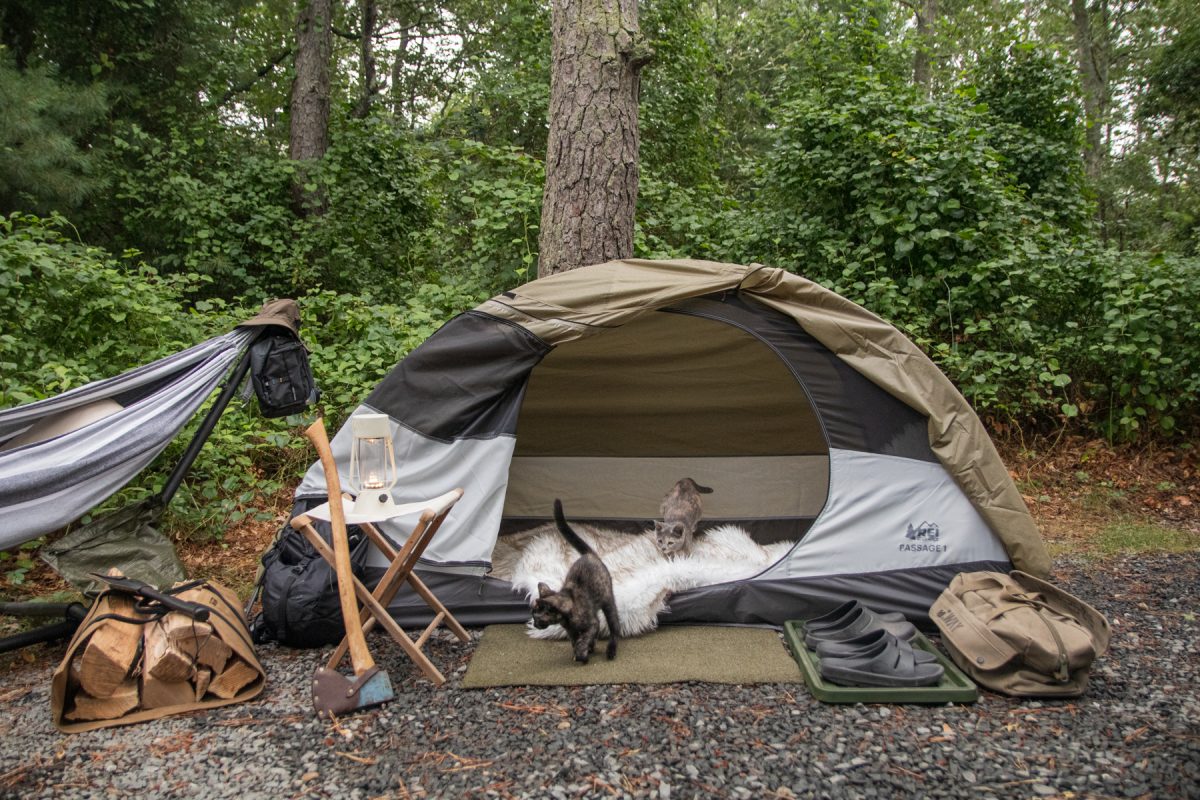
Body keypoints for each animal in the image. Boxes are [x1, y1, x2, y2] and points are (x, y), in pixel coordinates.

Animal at [530, 501, 619, 662]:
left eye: (537, 616)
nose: (534, 624)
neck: (567, 616)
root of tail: (590, 555)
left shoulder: (592, 624)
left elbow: (583, 639)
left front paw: (582, 653)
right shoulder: (571, 631)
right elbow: (574, 641)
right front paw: (583, 650)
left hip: (608, 602)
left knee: (615, 627)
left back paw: (611, 650)